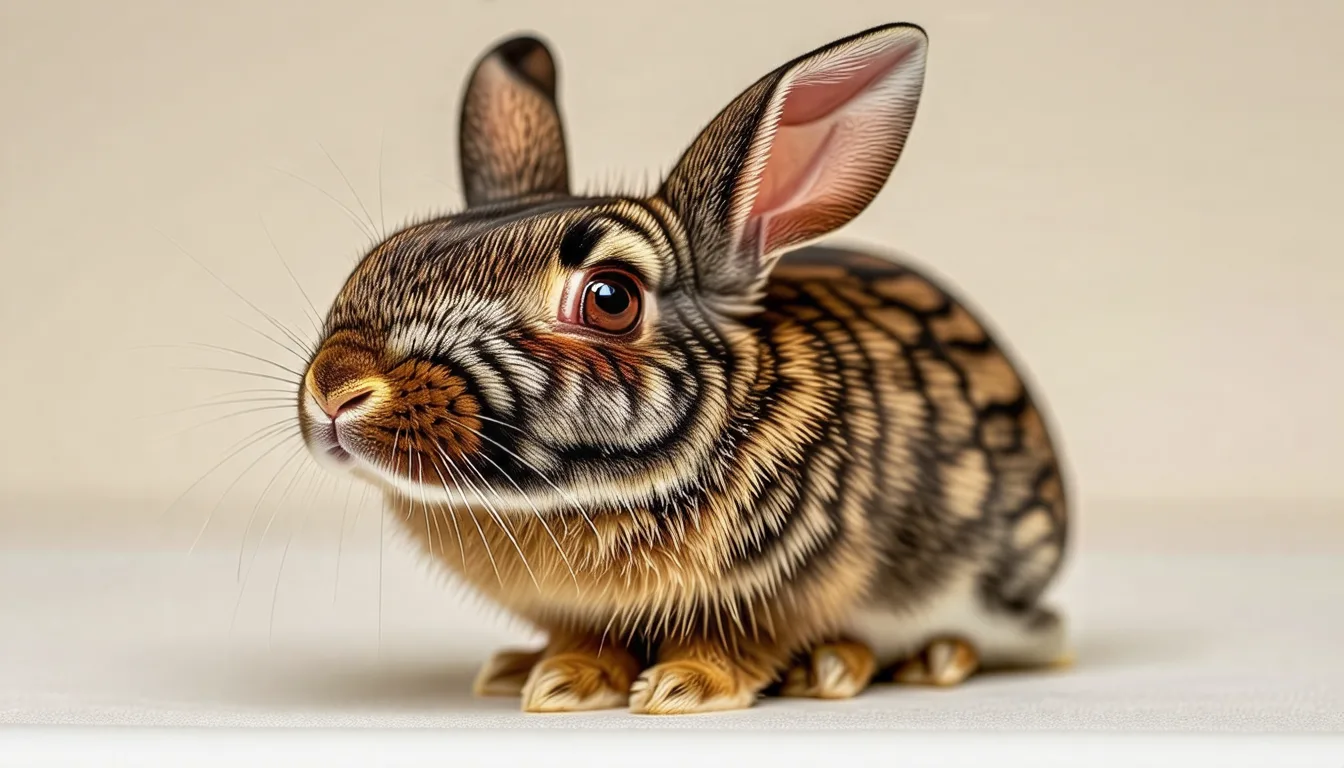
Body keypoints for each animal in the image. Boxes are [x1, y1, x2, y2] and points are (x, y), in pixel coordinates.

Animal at [297, 22, 1070, 715]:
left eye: (610, 299)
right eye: (384, 253)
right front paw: (559, 680)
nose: (336, 388)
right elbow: (586, 641)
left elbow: (738, 643)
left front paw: (682, 688)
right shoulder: (578, 610)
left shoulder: (784, 593)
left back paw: (887, 664)